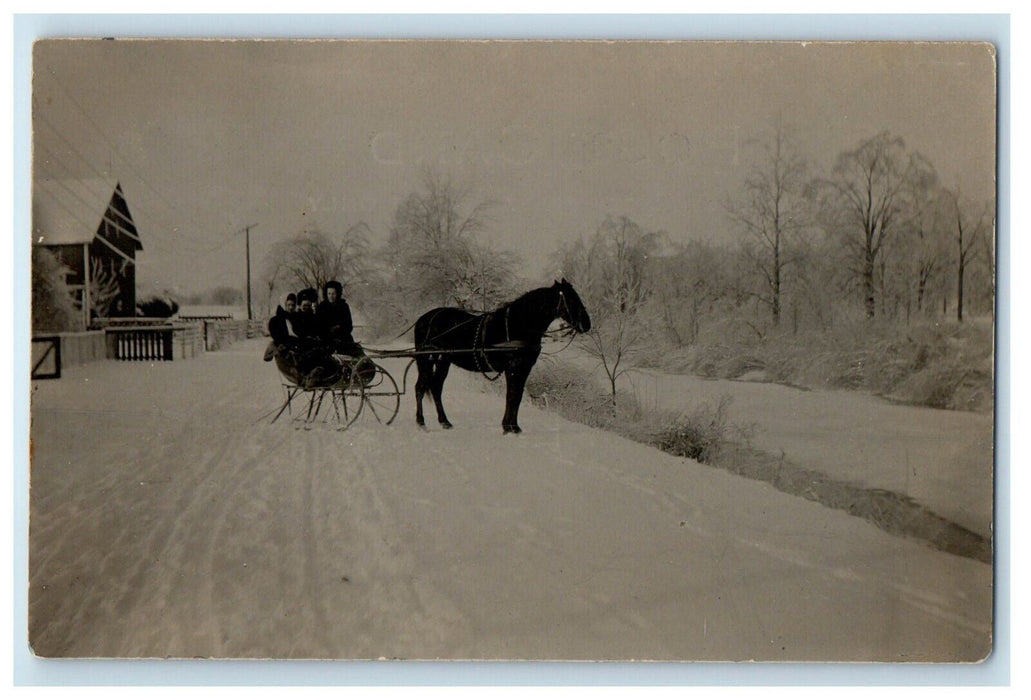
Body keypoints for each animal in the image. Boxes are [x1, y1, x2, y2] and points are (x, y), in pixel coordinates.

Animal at [410, 278, 589, 432]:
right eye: (571, 300)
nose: (587, 324)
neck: (520, 324)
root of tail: (424, 319)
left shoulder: (525, 368)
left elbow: (517, 395)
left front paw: (513, 426)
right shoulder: (513, 367)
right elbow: (511, 395)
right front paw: (509, 427)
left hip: (443, 360)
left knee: (436, 387)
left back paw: (444, 421)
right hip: (426, 360)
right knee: (420, 387)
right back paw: (421, 422)